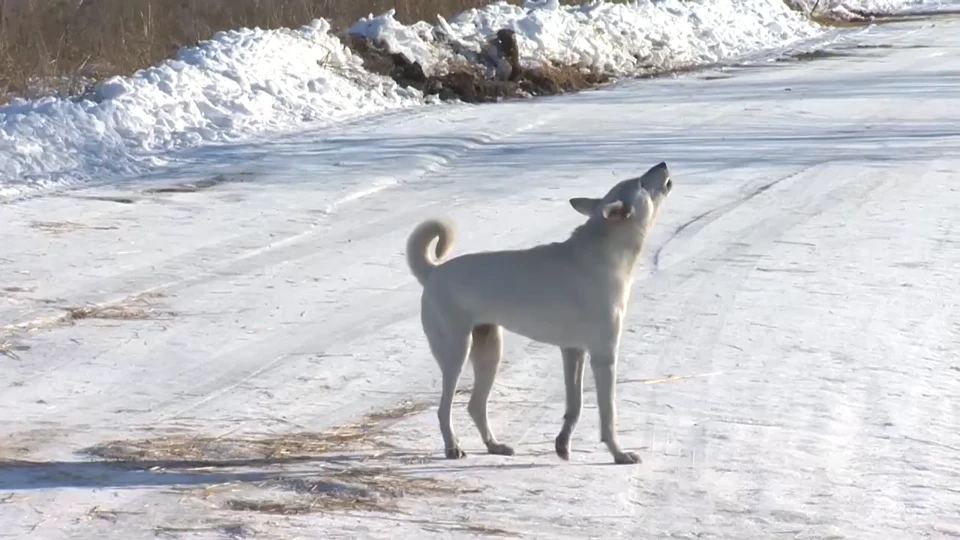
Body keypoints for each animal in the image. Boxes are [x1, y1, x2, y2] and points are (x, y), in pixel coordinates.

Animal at [408, 161, 672, 464]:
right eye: (641, 183)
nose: (663, 163)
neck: (605, 253)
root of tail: (433, 272)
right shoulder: (604, 356)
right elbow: (608, 415)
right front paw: (619, 453)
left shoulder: (573, 352)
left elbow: (575, 404)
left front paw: (563, 444)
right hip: (456, 354)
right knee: (444, 409)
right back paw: (452, 446)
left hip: (489, 352)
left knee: (475, 406)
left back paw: (494, 446)